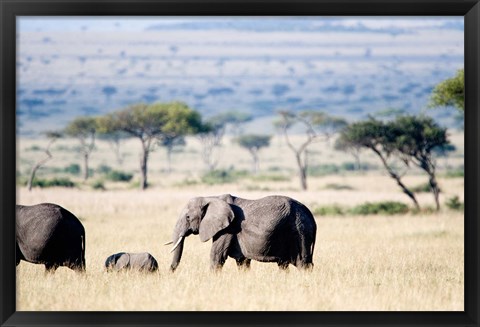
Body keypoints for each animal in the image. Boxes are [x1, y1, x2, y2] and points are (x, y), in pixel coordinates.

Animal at [167, 195, 316, 272]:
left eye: (187, 217)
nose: (170, 272)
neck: (211, 198)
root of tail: (311, 216)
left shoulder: (227, 229)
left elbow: (216, 256)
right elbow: (242, 261)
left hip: (300, 231)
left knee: (303, 263)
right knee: (284, 264)